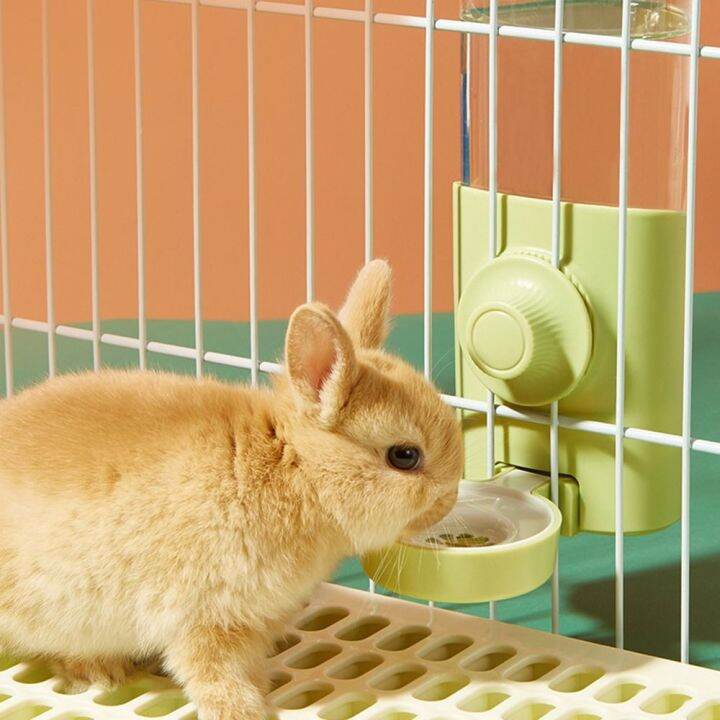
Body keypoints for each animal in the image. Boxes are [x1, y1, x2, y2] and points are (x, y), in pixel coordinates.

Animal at [0, 259, 463, 719]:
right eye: (404, 456)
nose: (449, 499)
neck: (295, 470)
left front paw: (259, 691)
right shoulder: (204, 616)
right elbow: (211, 671)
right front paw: (242, 709)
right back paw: (101, 670)